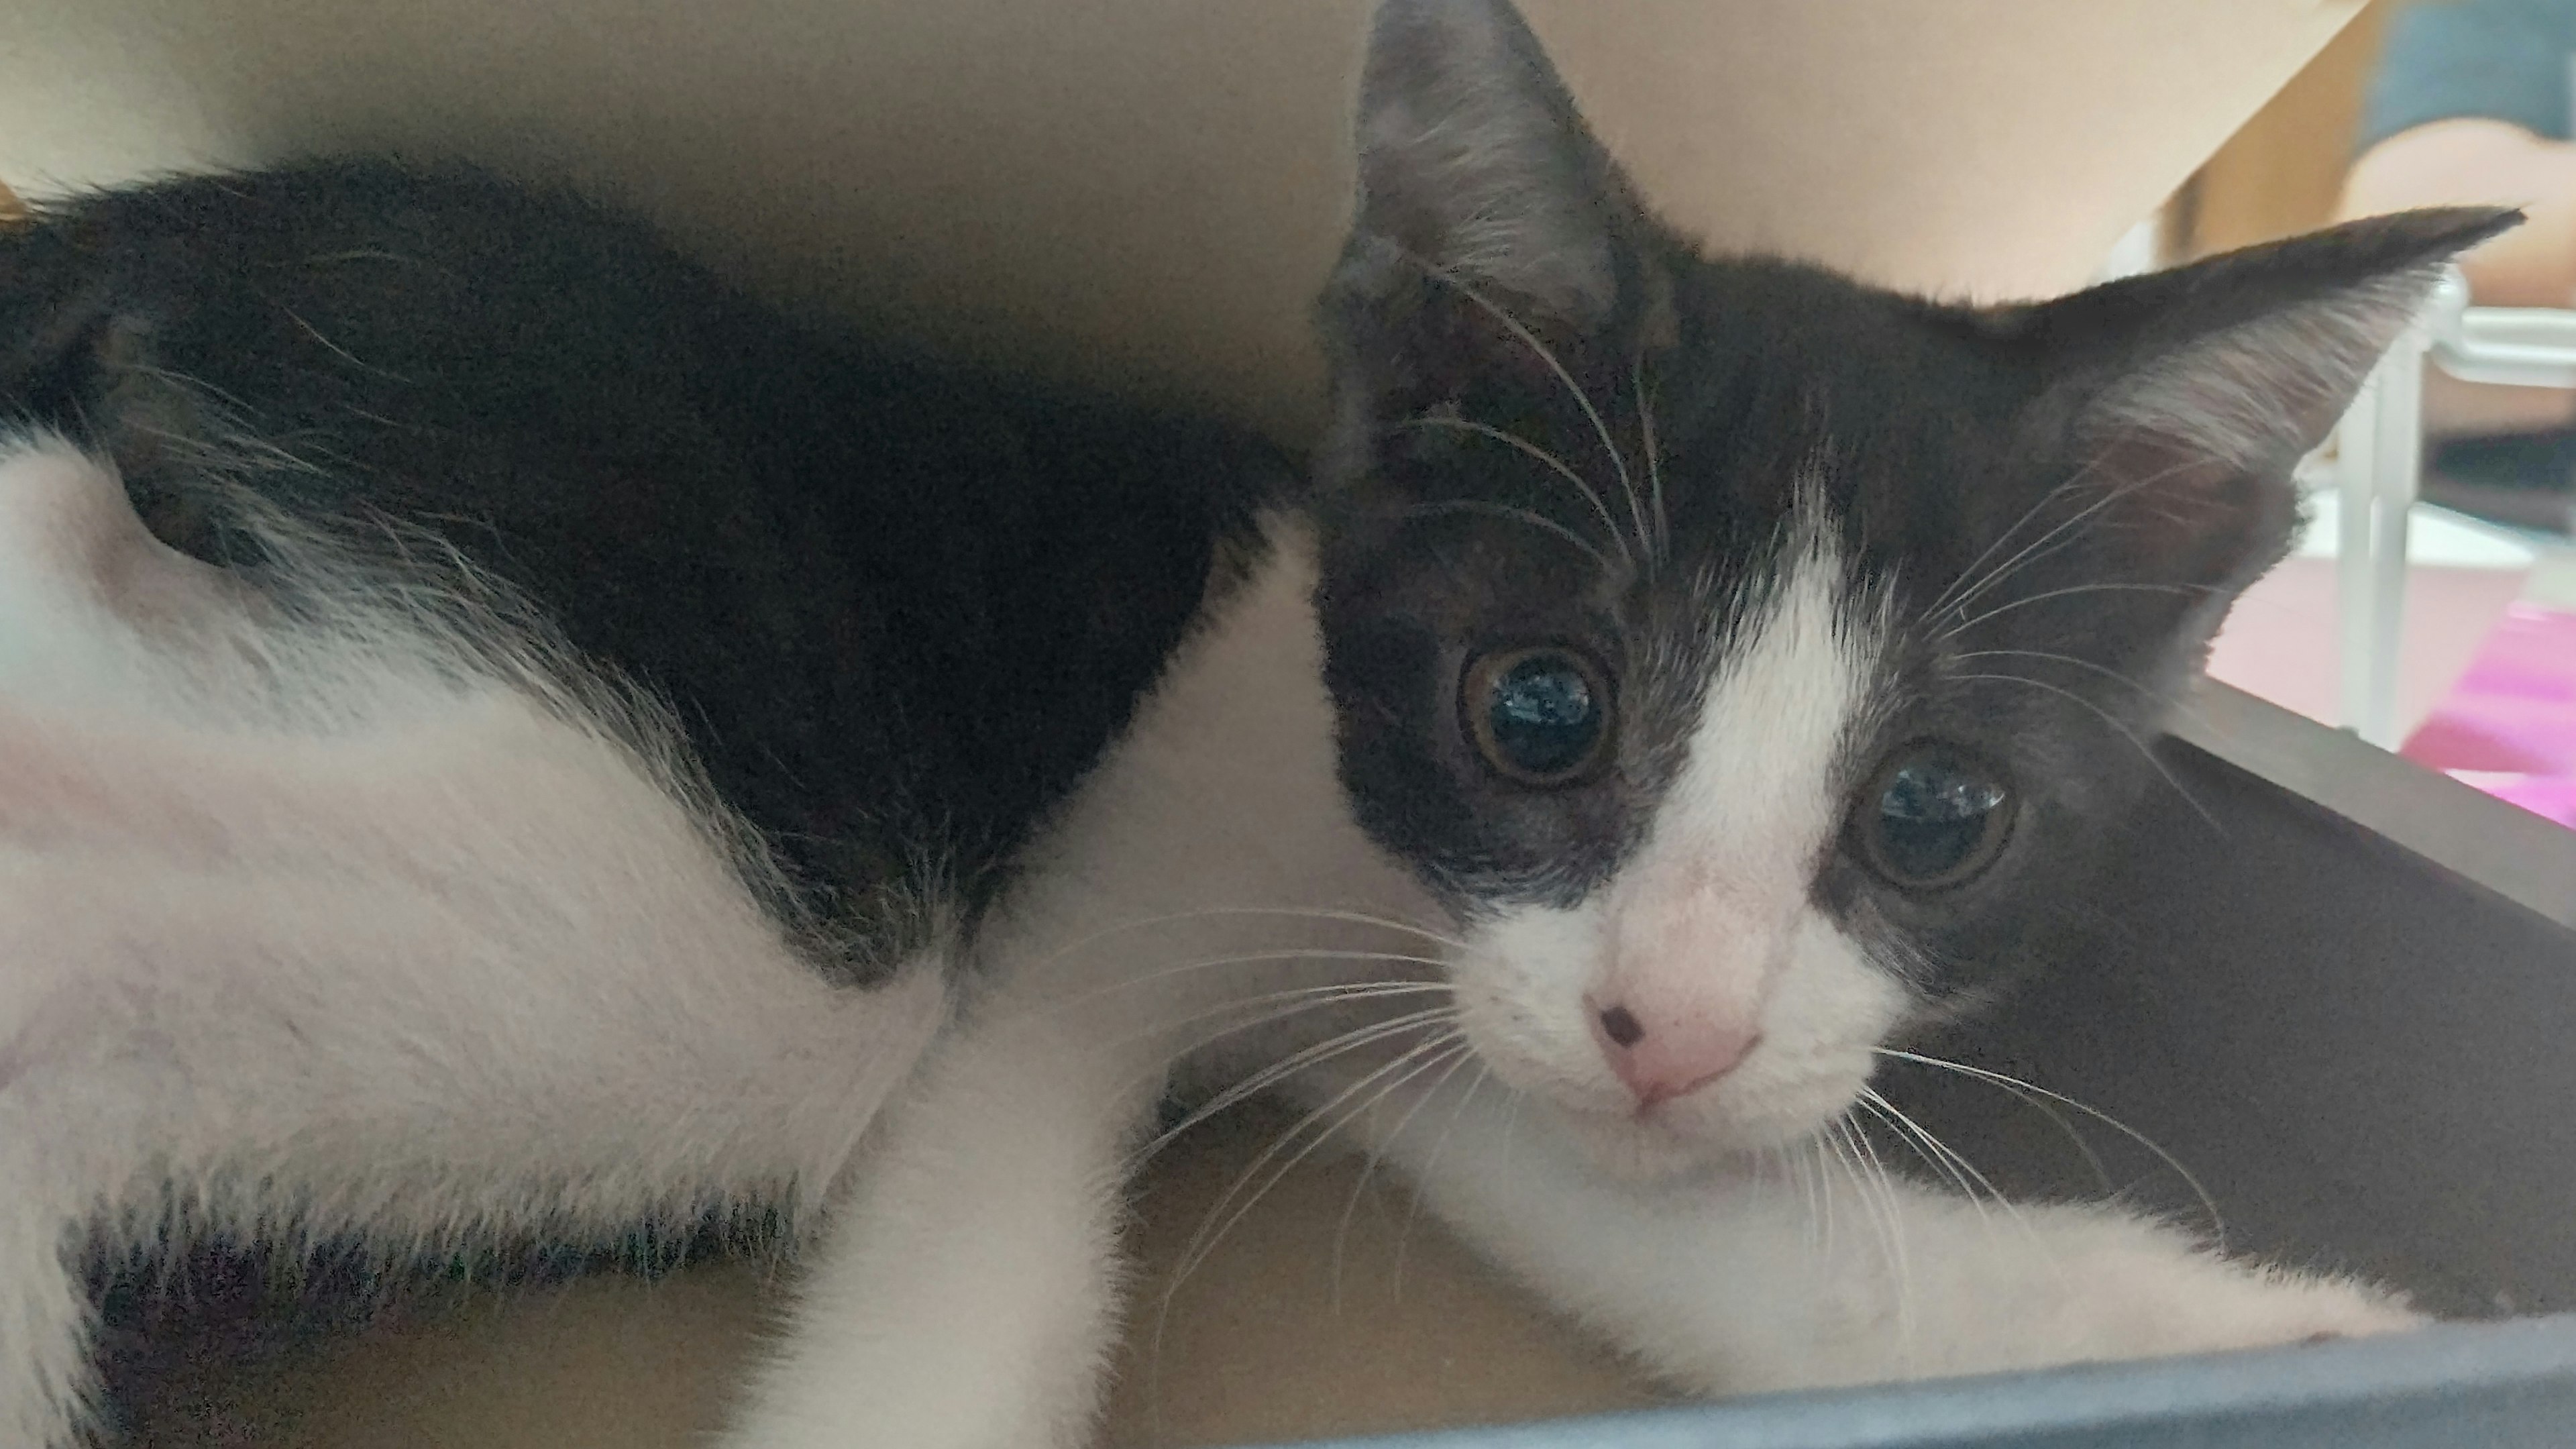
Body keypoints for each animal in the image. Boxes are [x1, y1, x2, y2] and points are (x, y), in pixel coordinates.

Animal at [0, 0, 2504, 1433]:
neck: (1356, 859)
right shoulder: (1075, 935)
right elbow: (959, 1295)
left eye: (1937, 815)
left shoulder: (1482, 1039)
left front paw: (2307, 1341)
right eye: (1536, 702)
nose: (1672, 1031)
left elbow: (1763, 1258)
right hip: (721, 848)